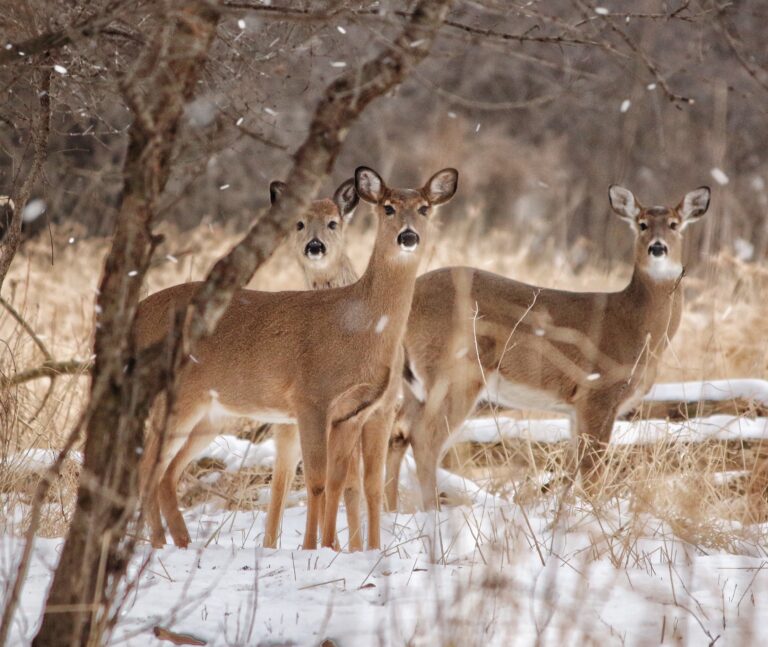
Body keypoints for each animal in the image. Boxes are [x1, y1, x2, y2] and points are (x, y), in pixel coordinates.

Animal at [135, 165, 458, 550]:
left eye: (424, 208)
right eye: (388, 207)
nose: (408, 236)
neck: (359, 327)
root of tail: (138, 312)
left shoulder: (357, 411)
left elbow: (352, 482)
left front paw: (350, 548)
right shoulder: (311, 397)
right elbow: (317, 480)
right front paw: (313, 548)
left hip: (211, 414)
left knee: (167, 473)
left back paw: (180, 542)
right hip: (178, 399)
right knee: (147, 467)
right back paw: (156, 542)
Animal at [385, 185, 711, 510]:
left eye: (674, 224)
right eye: (641, 224)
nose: (657, 248)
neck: (636, 326)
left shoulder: (574, 408)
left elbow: (572, 467)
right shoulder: (597, 392)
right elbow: (592, 470)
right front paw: (594, 512)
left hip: (414, 382)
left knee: (397, 431)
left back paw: (392, 508)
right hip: (455, 372)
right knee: (424, 437)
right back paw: (431, 510)